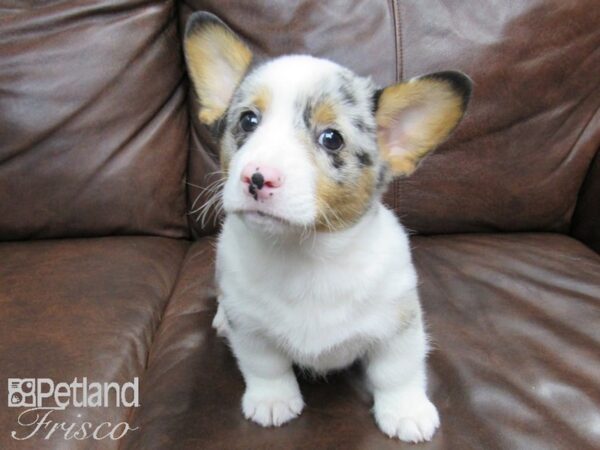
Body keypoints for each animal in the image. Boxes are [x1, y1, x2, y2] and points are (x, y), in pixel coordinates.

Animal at [183, 10, 468, 442]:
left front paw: (406, 411)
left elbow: (398, 371)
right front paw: (273, 401)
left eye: (331, 138)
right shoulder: (251, 329)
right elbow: (265, 366)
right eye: (248, 120)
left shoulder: (399, 326)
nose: (256, 177)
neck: (307, 254)